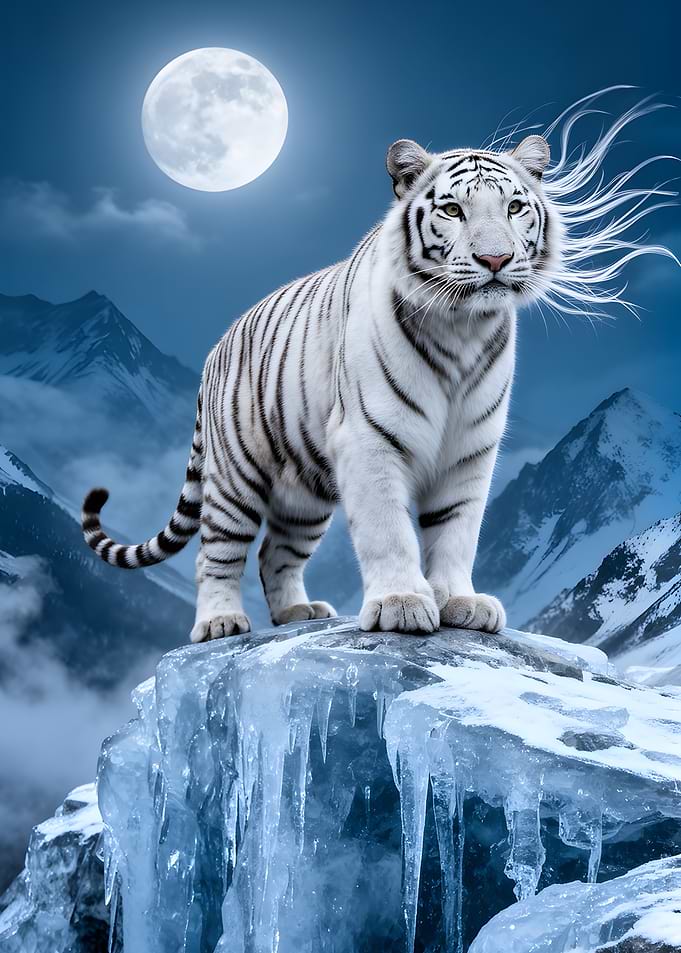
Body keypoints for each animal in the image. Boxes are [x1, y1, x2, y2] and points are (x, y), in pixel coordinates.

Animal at [81, 92, 677, 642]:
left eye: (513, 208)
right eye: (453, 211)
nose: (496, 259)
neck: (463, 330)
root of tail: (217, 345)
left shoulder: (471, 450)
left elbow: (457, 530)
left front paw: (461, 602)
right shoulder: (369, 440)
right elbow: (388, 529)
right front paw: (401, 605)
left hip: (305, 492)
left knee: (276, 551)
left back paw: (298, 613)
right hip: (236, 474)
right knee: (218, 552)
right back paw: (221, 621)